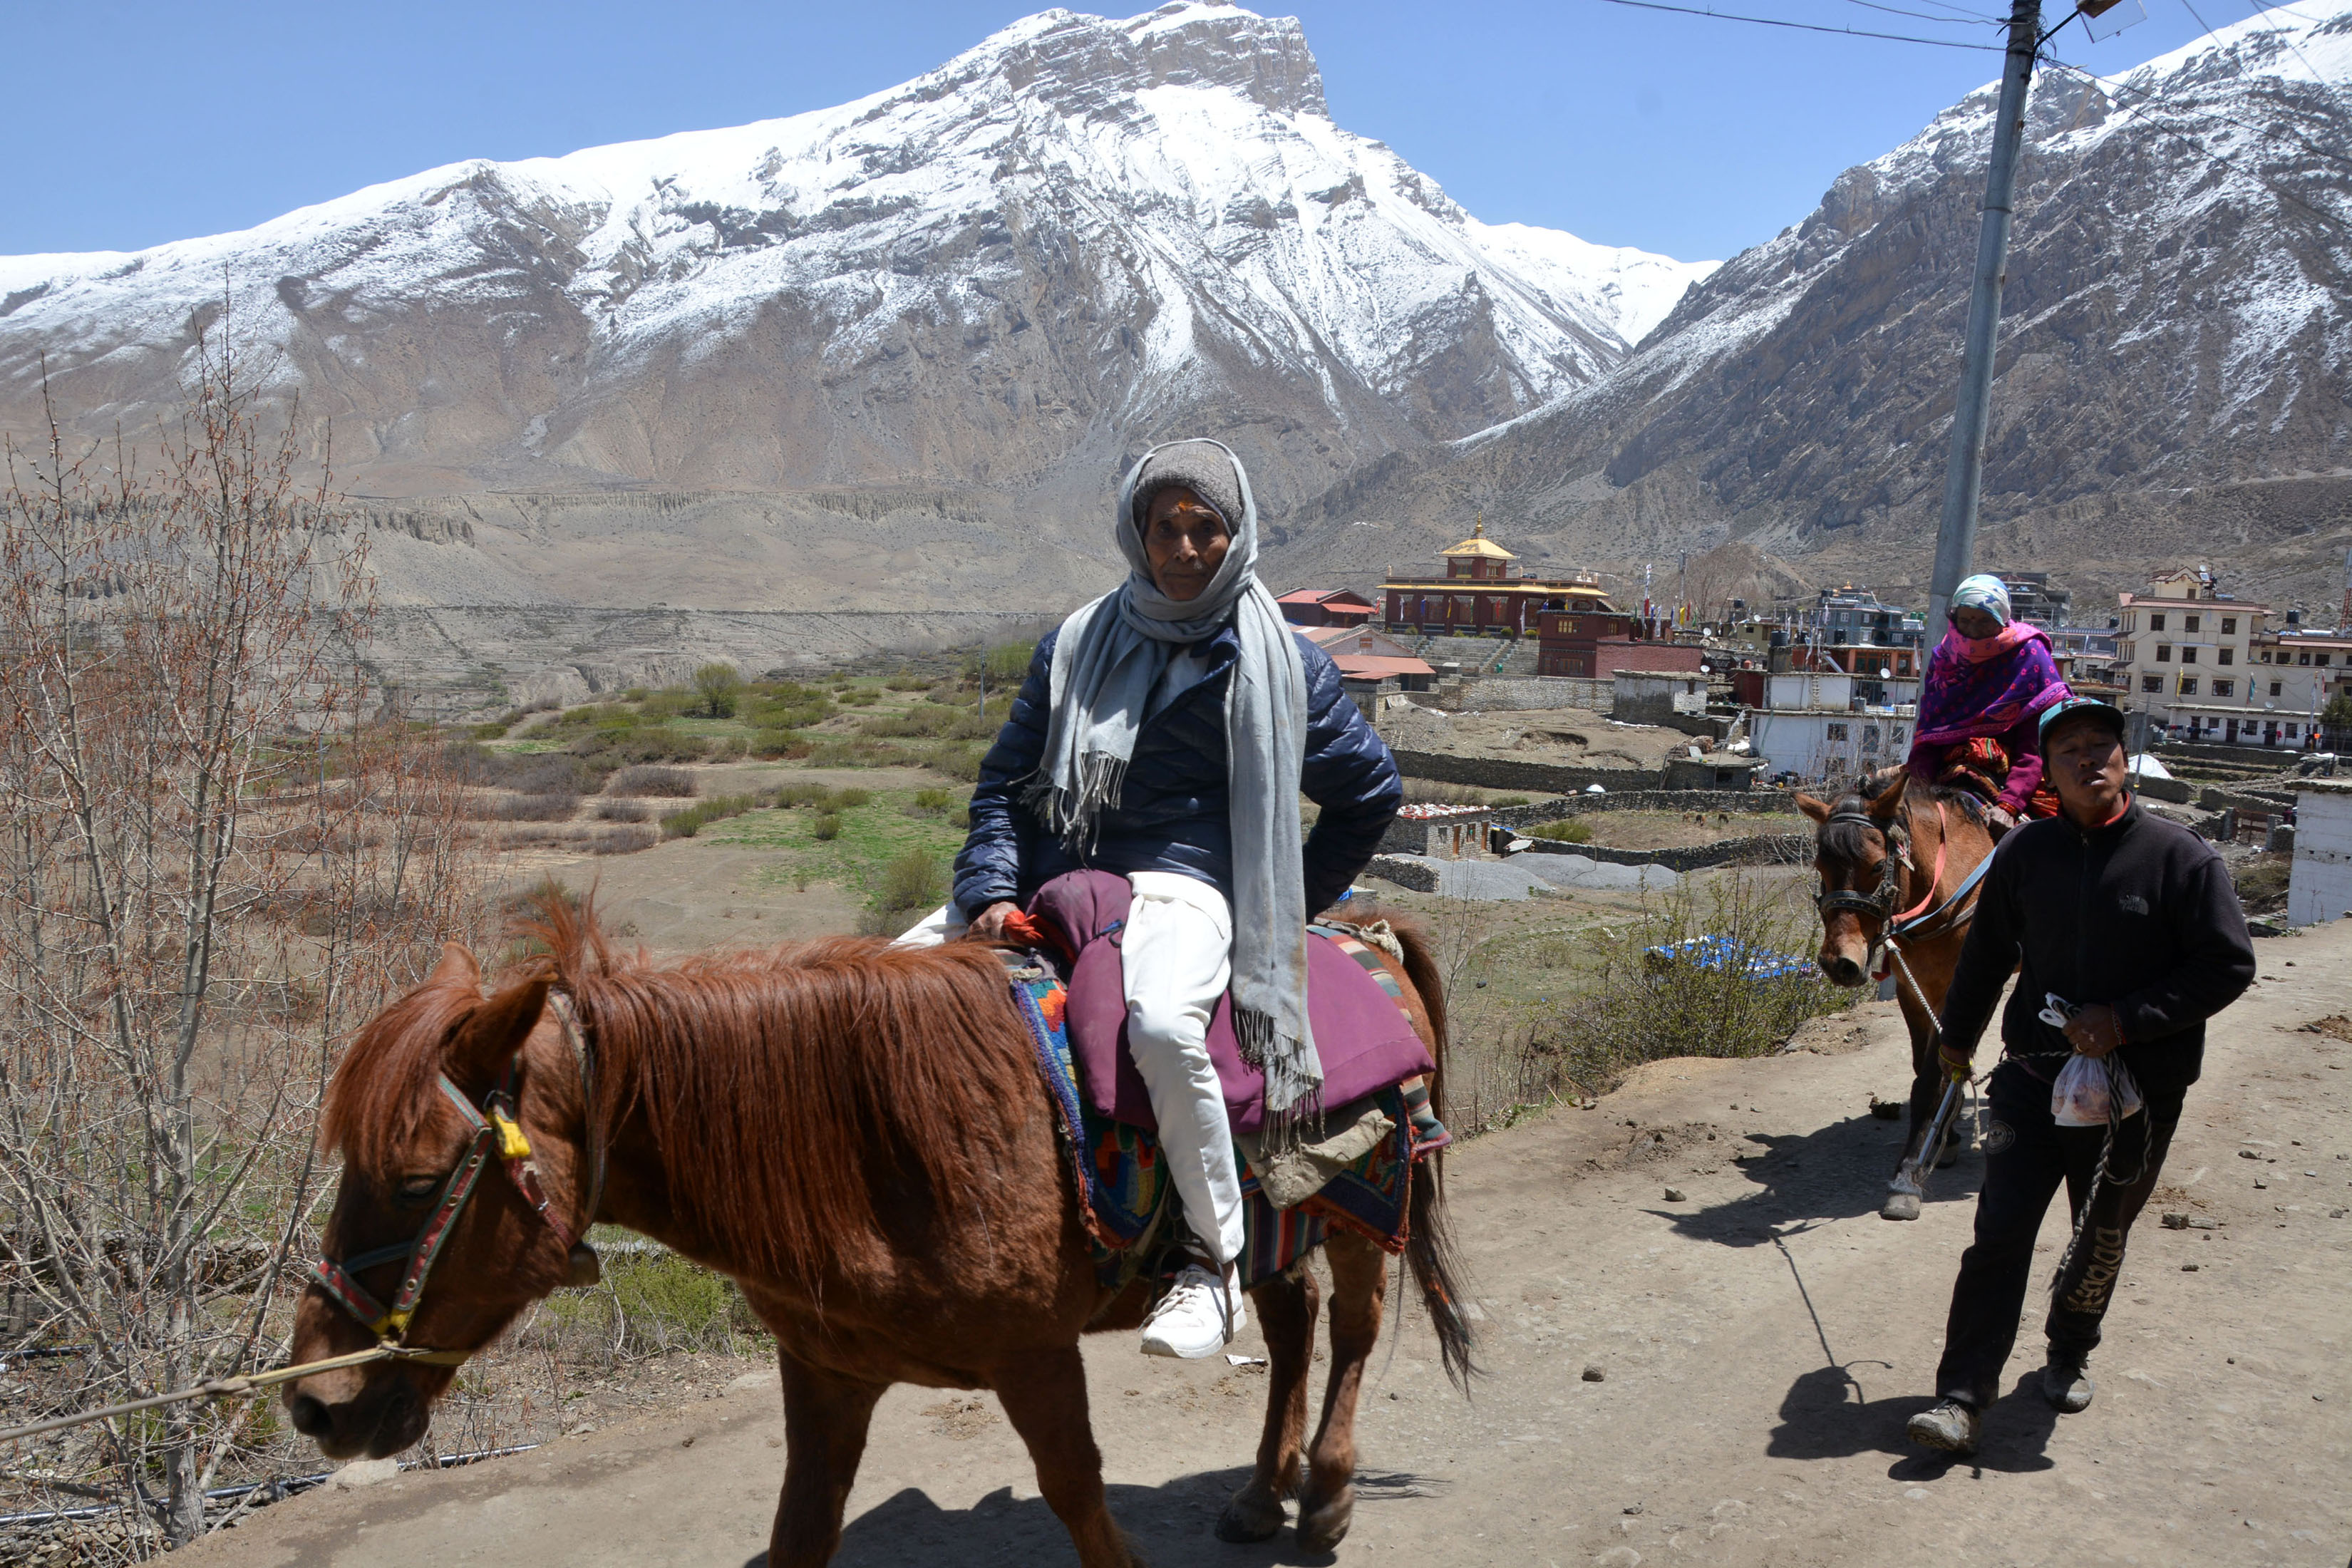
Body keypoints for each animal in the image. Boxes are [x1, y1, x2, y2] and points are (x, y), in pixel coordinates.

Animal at [275, 902, 1458, 1561]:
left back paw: (1327, 1497)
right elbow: (802, 1529)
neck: (874, 1150)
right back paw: (1263, 1494)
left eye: (417, 1181)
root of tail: (1366, 930)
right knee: (1295, 1327)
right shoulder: (828, 1374)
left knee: (1353, 1333)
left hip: (1367, 1212)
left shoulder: (1037, 1360)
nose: (314, 1402)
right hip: (1283, 1222)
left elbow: (1081, 1504)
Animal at [1806, 770, 1994, 1222]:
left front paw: (1908, 1178)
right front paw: (1943, 1139)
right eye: (1821, 866)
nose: (1839, 963)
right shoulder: (1913, 990)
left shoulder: (1960, 990)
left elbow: (1932, 1078)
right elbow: (1923, 1068)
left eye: (1877, 866)